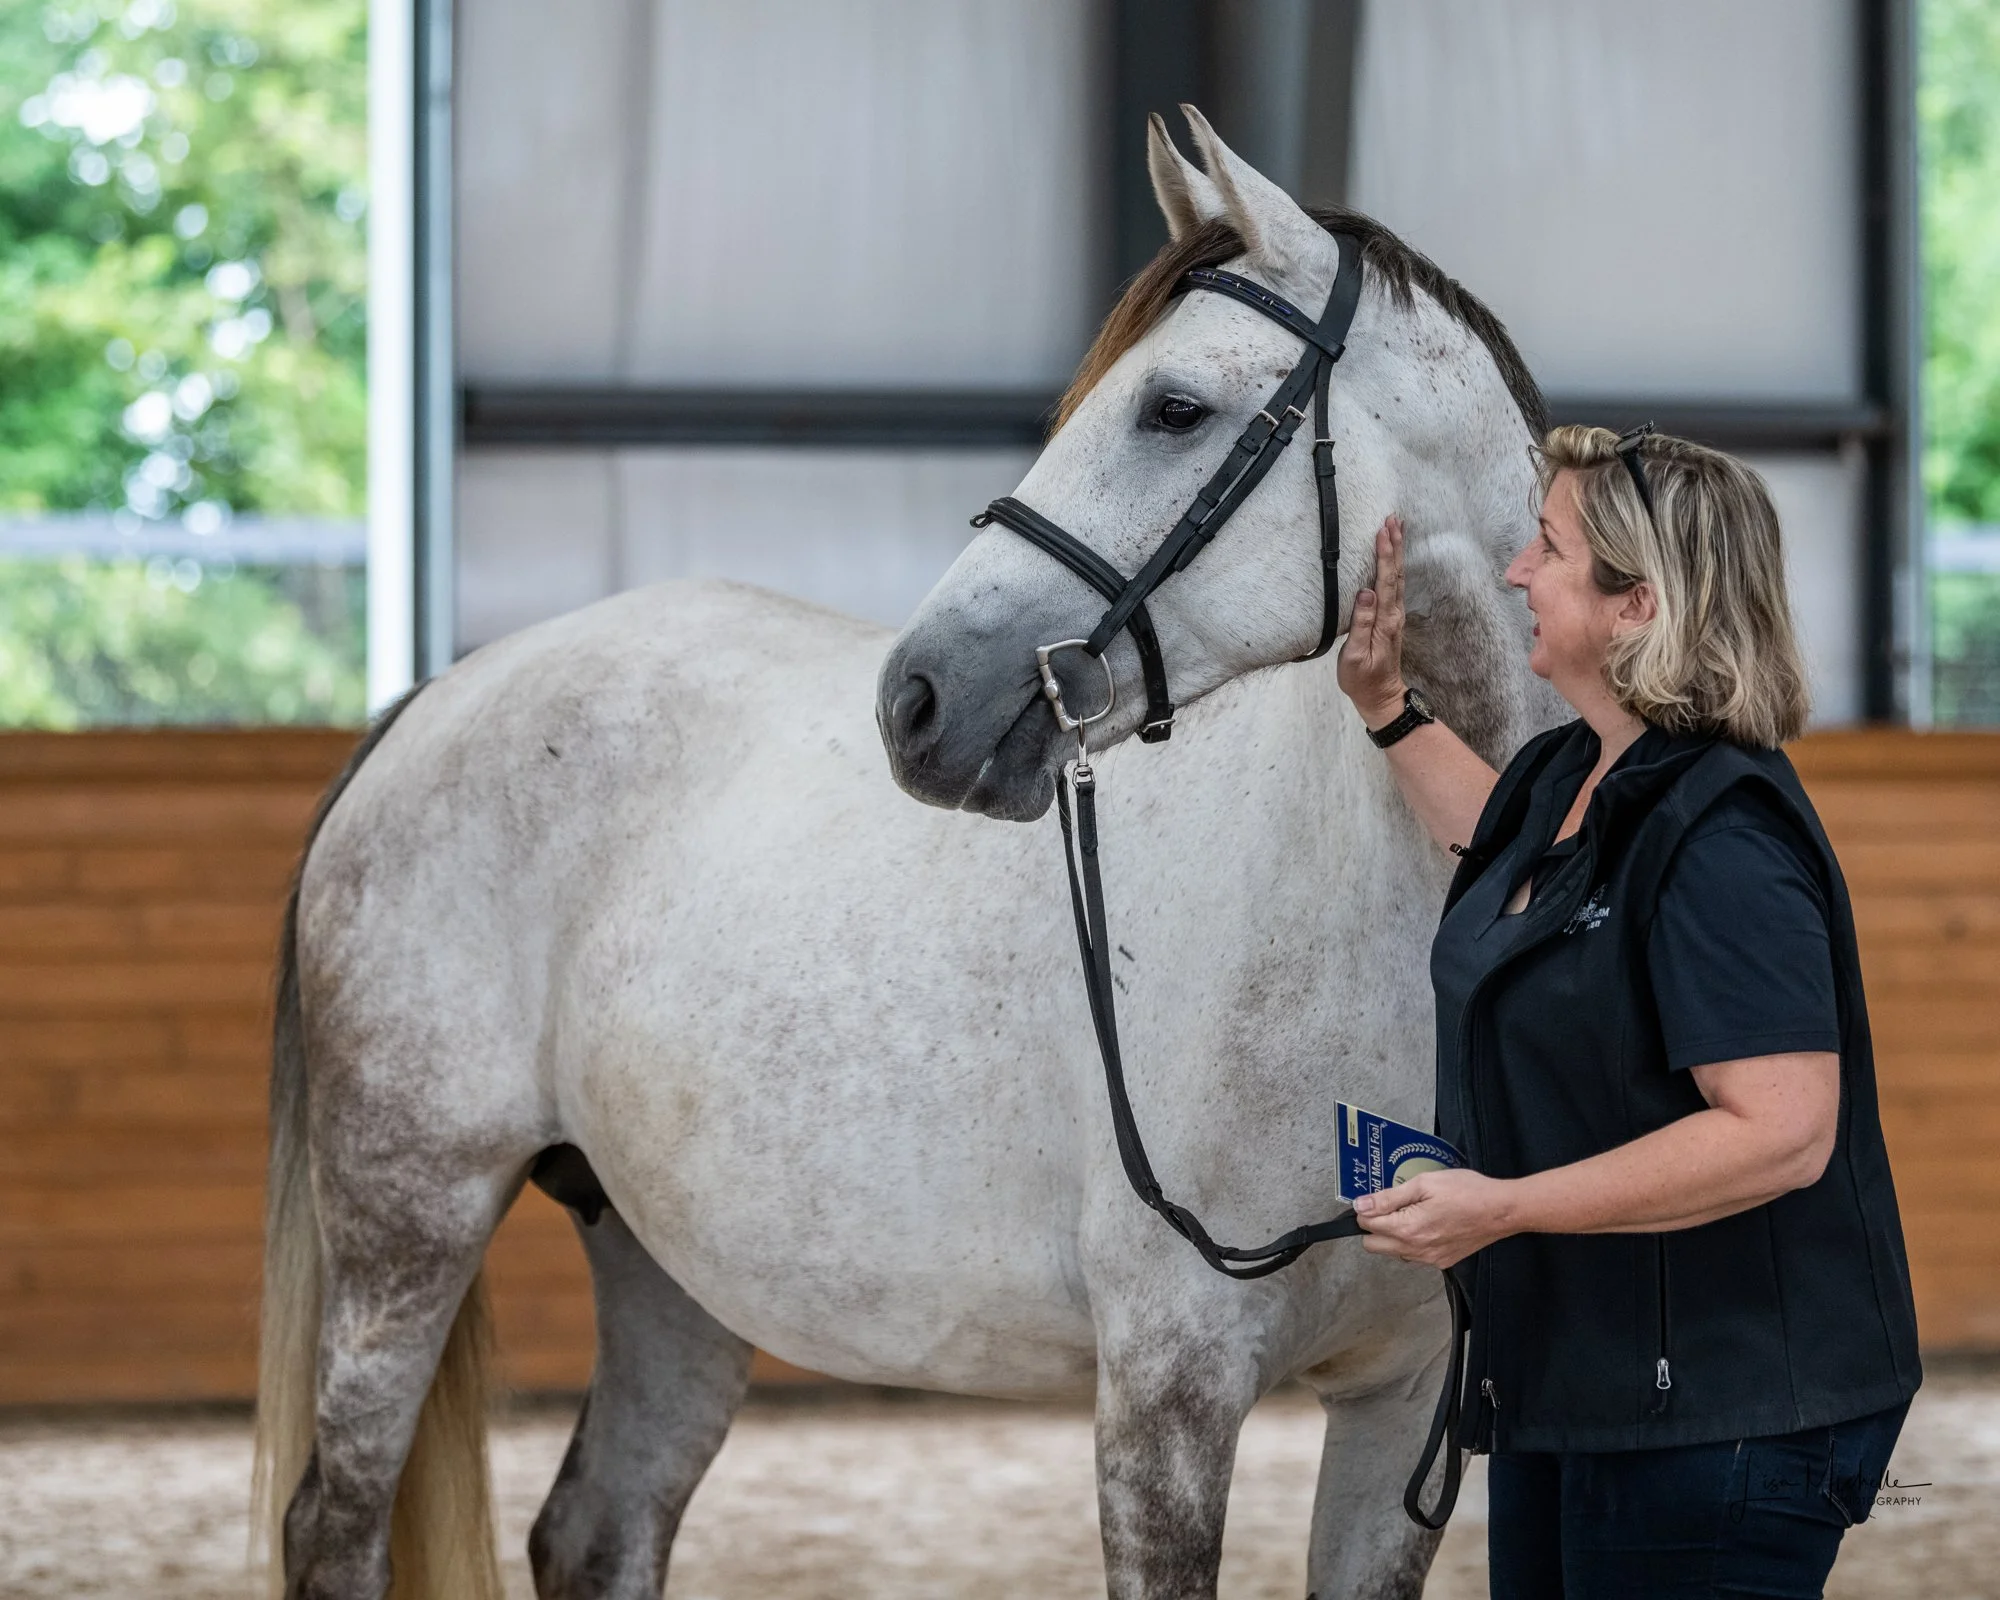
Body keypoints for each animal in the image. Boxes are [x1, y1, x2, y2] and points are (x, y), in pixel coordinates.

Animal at [256, 107, 1561, 1600]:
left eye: (1174, 409)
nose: (920, 700)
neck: (1371, 919)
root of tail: (437, 698)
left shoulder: (1404, 1405)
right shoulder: (1169, 1390)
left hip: (663, 1264)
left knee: (596, 1526)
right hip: (406, 1222)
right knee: (335, 1524)